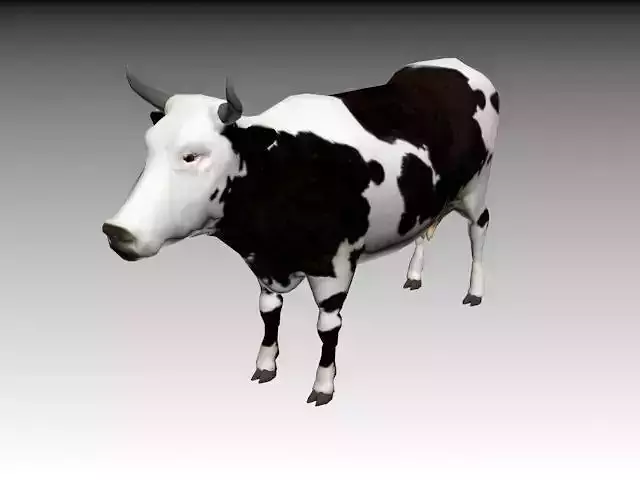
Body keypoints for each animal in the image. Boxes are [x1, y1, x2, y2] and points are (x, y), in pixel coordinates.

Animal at [102, 57, 500, 406]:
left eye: (192, 155)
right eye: (149, 147)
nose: (115, 231)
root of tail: (456, 65)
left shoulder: (335, 265)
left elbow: (327, 327)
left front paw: (323, 386)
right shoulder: (264, 266)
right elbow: (268, 312)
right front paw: (265, 363)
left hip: (477, 185)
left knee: (479, 228)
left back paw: (475, 290)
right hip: (434, 197)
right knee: (427, 227)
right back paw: (414, 275)